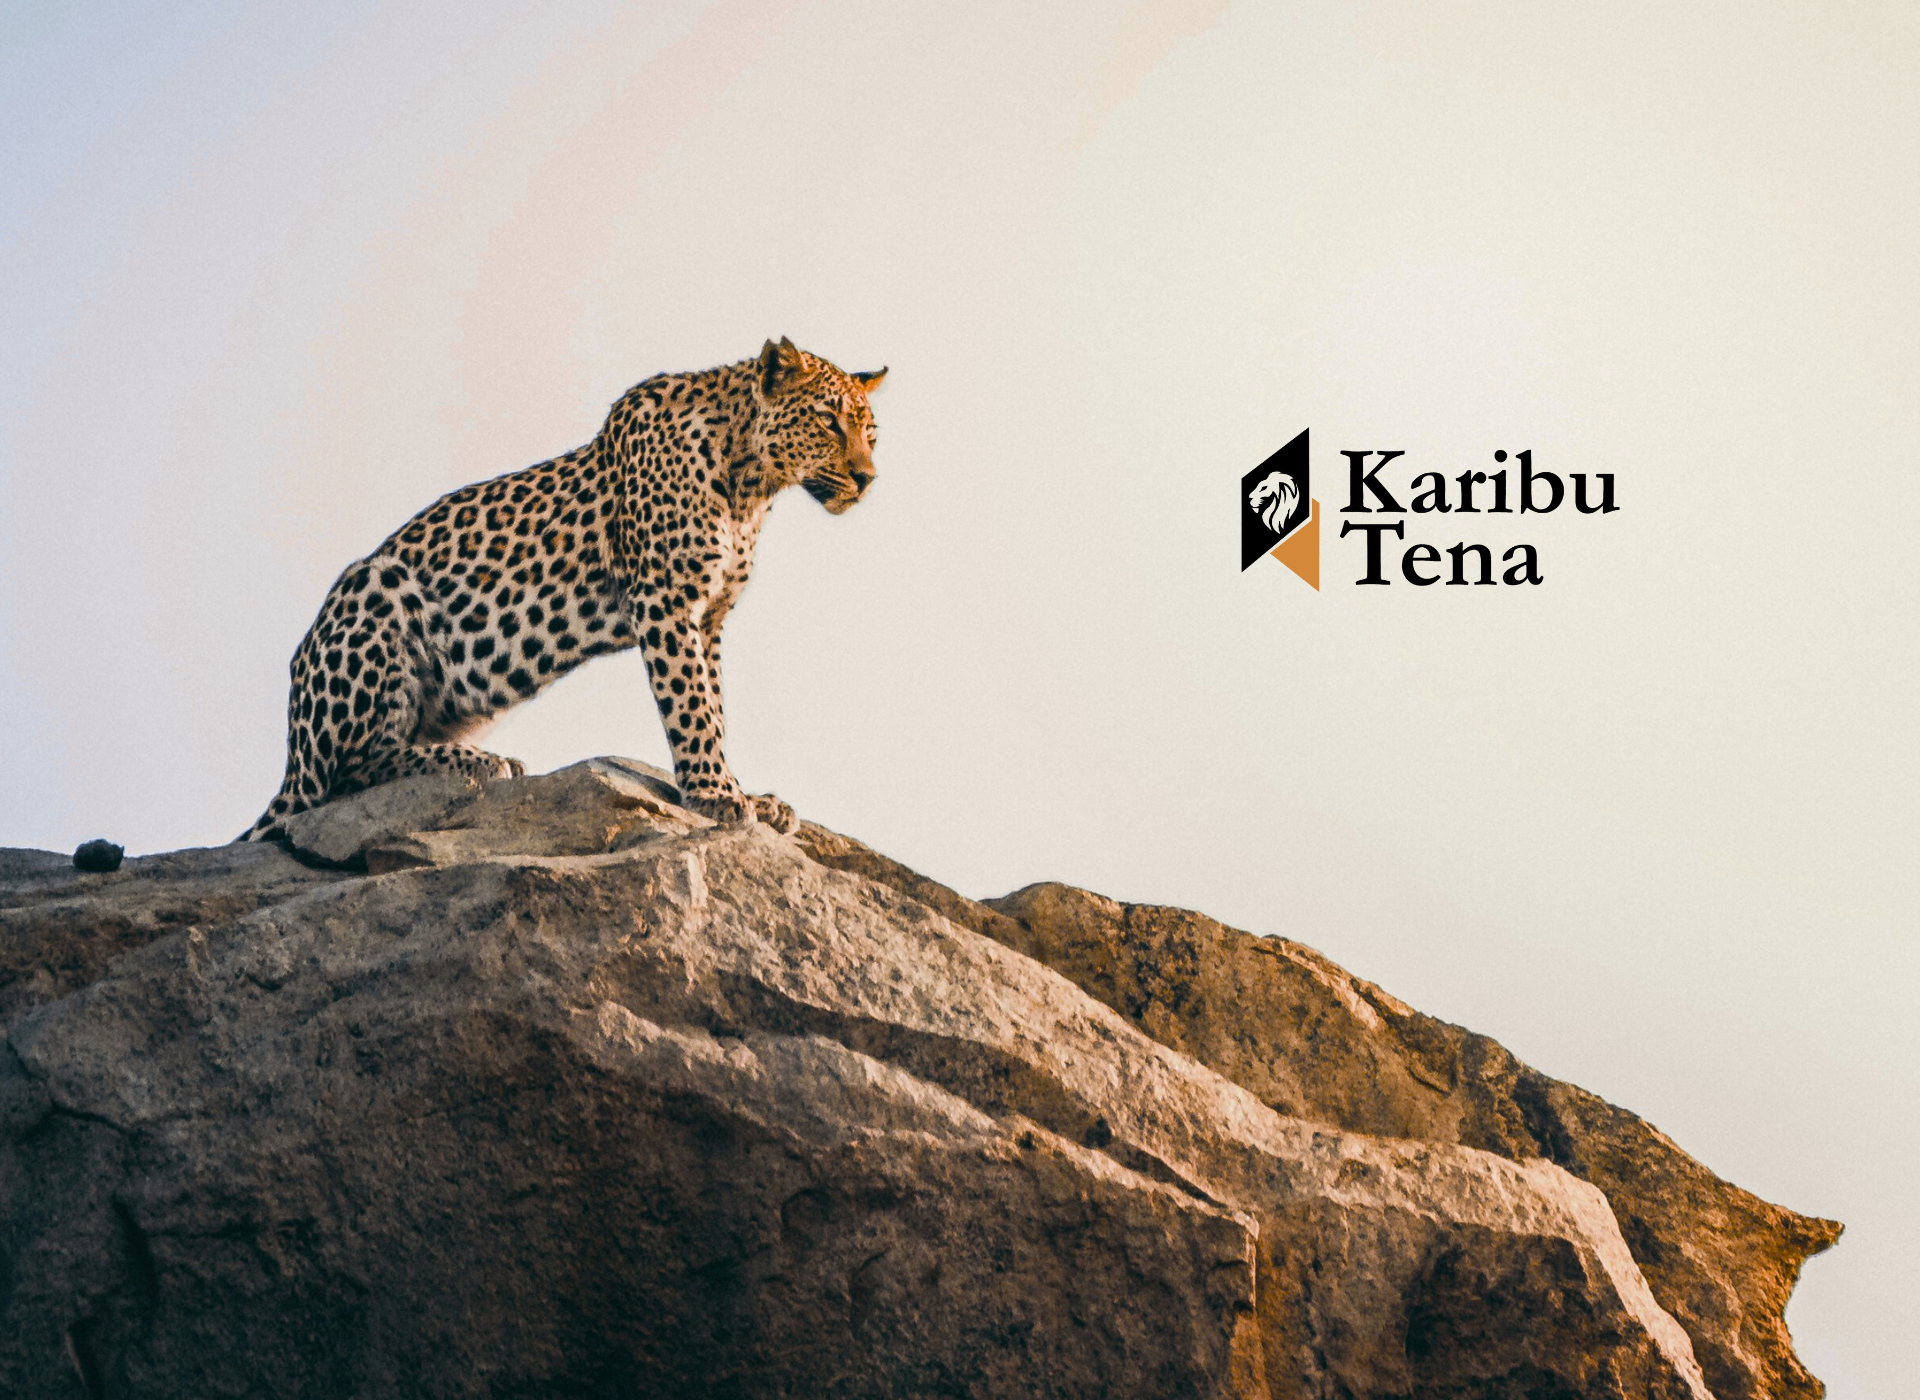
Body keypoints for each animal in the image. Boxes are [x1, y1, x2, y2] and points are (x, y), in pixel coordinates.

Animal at [241, 338, 885, 842]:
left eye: (870, 433)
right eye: (828, 421)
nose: (867, 478)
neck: (751, 485)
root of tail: (291, 757)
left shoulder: (709, 618)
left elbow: (716, 705)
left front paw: (744, 791)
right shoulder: (666, 600)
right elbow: (691, 704)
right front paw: (715, 794)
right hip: (374, 586)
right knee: (343, 776)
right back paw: (480, 762)